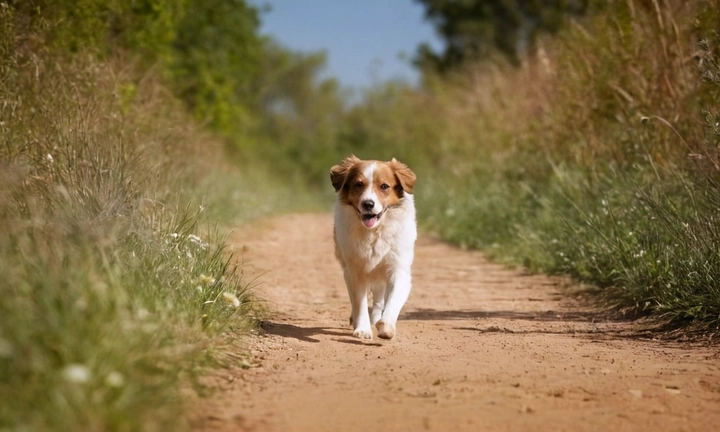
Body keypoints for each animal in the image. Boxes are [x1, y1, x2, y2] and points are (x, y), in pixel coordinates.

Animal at [330, 155, 416, 340]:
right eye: (358, 185)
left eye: (384, 186)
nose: (368, 204)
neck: (375, 232)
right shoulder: (355, 270)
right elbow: (359, 302)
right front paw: (362, 328)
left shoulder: (398, 268)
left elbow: (392, 301)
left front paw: (386, 326)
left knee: (378, 299)